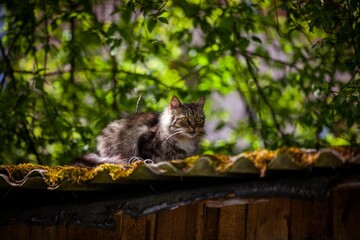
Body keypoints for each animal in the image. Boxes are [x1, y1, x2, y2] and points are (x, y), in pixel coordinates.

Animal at [72, 94, 205, 166]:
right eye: (185, 119)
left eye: (199, 119)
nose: (194, 127)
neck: (184, 140)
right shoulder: (143, 140)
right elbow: (149, 157)